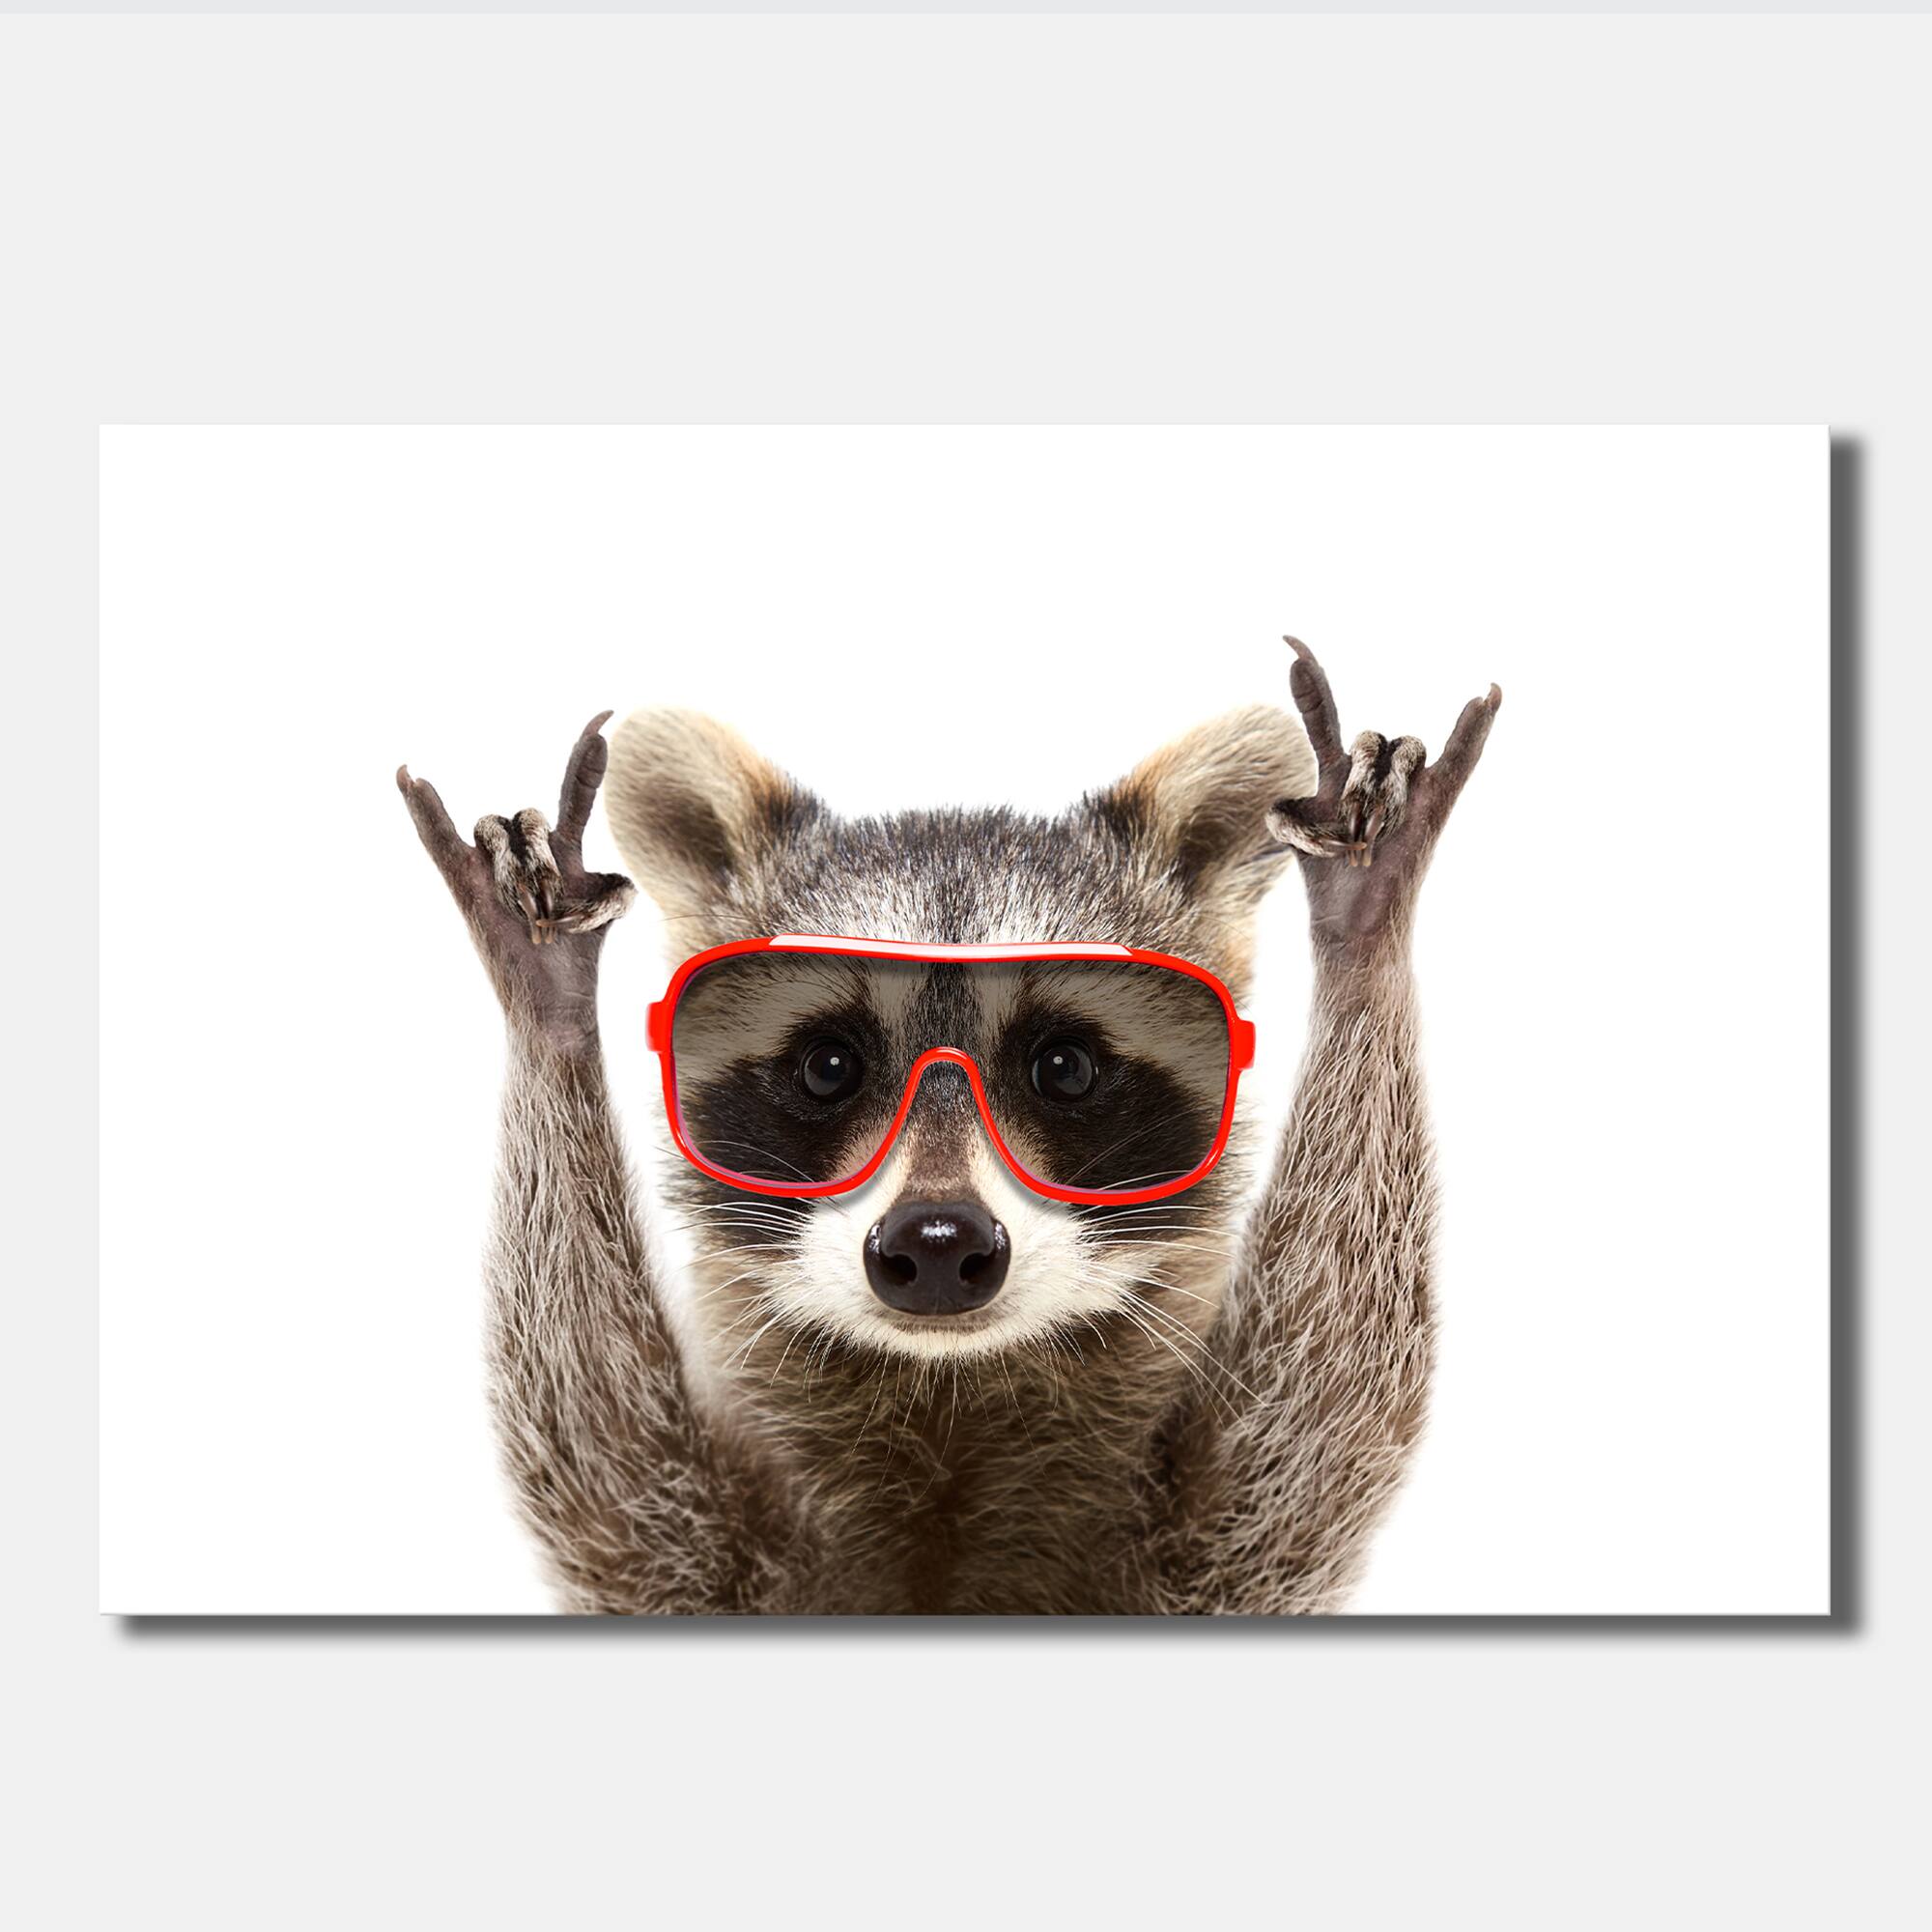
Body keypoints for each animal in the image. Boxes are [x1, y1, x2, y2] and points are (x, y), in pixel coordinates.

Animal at [399, 640, 1499, 1613]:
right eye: (828, 1065)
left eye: (1062, 1067)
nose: (936, 1242)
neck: (947, 1398)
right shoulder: (699, 1561)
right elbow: (600, 1462)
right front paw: (548, 1002)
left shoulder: (1211, 1557)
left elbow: (1323, 1414)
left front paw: (1363, 926)